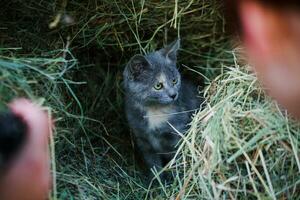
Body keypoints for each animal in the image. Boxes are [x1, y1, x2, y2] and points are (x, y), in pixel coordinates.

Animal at [122, 39, 202, 178]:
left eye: (174, 81)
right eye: (158, 86)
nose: (173, 95)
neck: (155, 111)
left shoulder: (178, 135)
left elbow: (178, 159)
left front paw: (176, 179)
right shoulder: (143, 139)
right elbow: (153, 164)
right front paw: (156, 180)